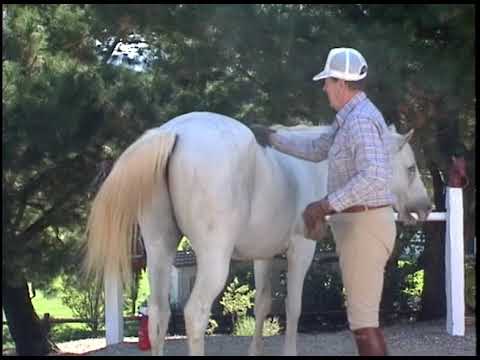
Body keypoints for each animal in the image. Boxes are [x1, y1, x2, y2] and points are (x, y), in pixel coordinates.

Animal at [83, 111, 432, 356]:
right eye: (411, 168)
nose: (424, 208)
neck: (309, 168)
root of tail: (175, 132)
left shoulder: (263, 256)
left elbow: (263, 304)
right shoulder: (300, 252)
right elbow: (293, 306)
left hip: (159, 250)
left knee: (159, 315)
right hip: (213, 260)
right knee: (195, 314)